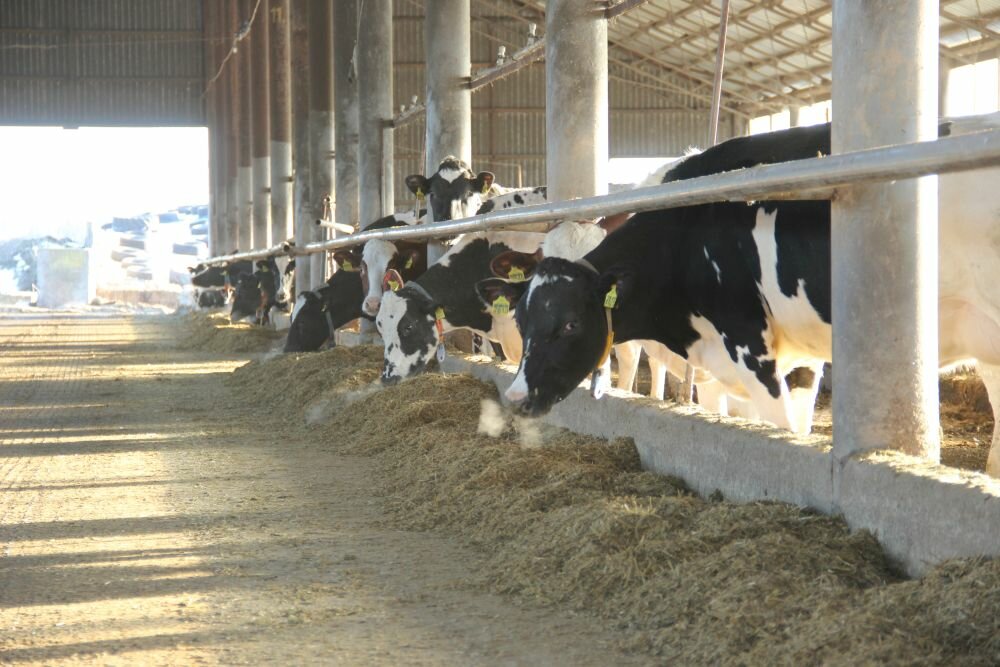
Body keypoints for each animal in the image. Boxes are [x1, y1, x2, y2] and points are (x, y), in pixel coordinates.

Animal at [499, 118, 1000, 479]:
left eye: (570, 323)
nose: (515, 396)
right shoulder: (791, 356)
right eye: (521, 321)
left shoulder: (748, 345)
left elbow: (780, 427)